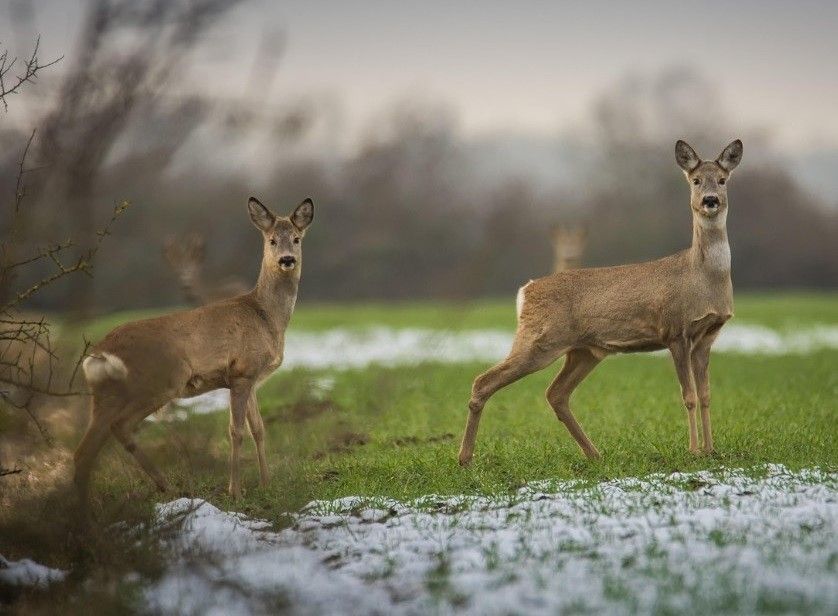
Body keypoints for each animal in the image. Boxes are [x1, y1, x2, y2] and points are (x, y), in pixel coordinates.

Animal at [74, 196, 314, 508]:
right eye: (272, 240)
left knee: (85, 450)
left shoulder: (250, 379)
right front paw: (236, 492)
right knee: (119, 428)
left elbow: (258, 429)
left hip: (106, 394)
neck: (265, 316)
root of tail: (100, 353)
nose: (287, 259)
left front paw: (266, 484)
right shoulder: (241, 372)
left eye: (296, 238)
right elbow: (236, 431)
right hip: (158, 383)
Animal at [458, 140, 742, 466]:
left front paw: (710, 450)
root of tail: (524, 291)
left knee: (556, 393)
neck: (703, 277)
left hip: (583, 351)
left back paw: (594, 454)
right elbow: (689, 396)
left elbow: (706, 395)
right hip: (539, 340)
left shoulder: (708, 335)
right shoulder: (675, 332)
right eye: (695, 180)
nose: (710, 200)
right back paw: (465, 458)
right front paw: (693, 451)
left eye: (722, 180)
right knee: (483, 381)